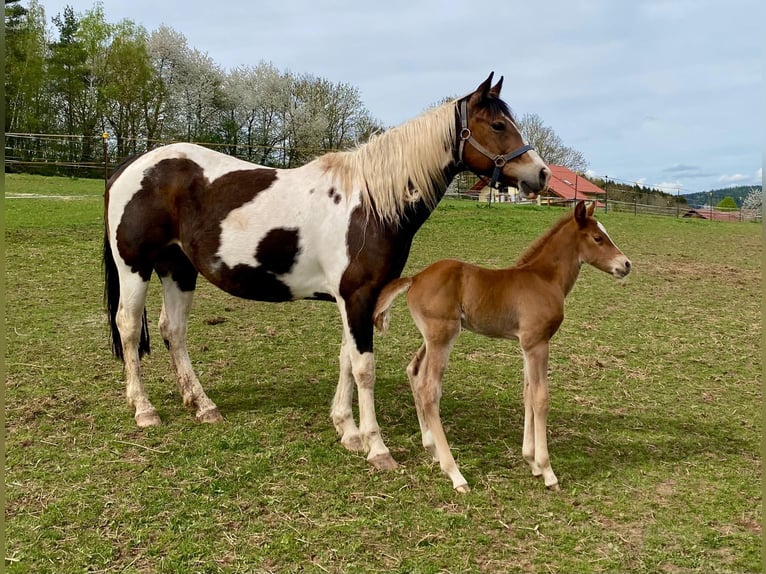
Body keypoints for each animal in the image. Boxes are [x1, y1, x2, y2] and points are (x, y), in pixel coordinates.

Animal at [103, 72, 550, 472]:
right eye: (497, 125)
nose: (541, 173)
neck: (370, 204)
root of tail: (132, 165)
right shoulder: (357, 297)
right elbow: (364, 368)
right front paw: (377, 447)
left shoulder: (357, 298)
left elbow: (345, 359)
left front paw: (347, 431)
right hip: (135, 267)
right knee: (129, 326)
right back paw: (144, 408)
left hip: (178, 269)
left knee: (173, 330)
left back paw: (202, 405)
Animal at [373, 201, 632, 490]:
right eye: (598, 238)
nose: (626, 264)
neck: (544, 278)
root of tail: (415, 278)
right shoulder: (537, 343)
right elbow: (541, 398)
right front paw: (548, 471)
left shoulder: (526, 346)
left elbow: (528, 394)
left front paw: (531, 462)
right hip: (443, 337)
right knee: (430, 390)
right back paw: (455, 474)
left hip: (432, 338)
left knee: (414, 373)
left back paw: (433, 450)